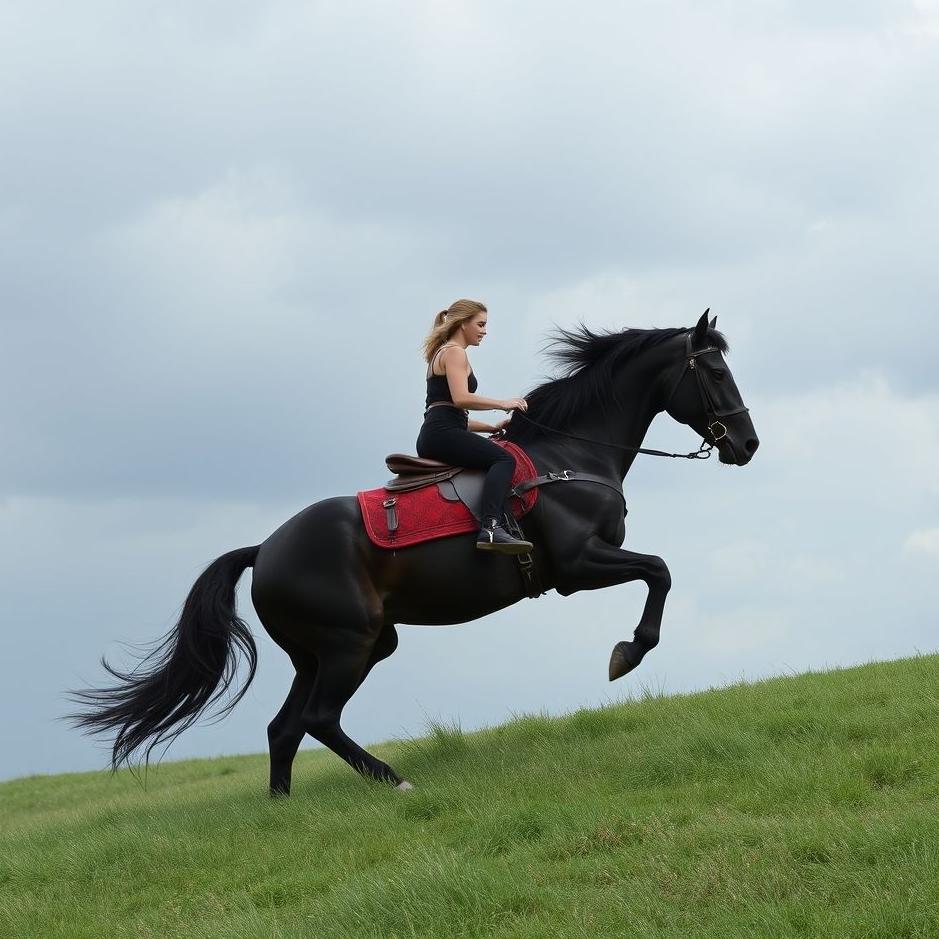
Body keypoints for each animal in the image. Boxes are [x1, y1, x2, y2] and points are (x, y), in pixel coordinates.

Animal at [70, 310, 759, 794]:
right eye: (716, 373)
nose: (747, 445)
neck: (570, 456)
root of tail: (263, 551)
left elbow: (658, 573)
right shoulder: (580, 565)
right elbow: (659, 573)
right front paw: (627, 654)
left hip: (332, 649)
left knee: (285, 726)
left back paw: (282, 805)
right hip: (349, 643)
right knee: (318, 720)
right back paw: (392, 778)